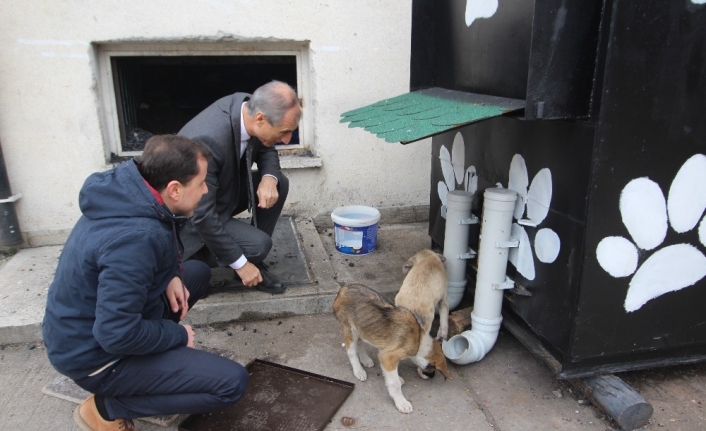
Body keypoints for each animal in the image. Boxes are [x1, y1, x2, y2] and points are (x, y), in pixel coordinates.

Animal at [332, 284, 452, 416]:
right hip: (350, 329)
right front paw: (401, 402)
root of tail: (343, 289)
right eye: (432, 367)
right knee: (351, 351)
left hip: (362, 327)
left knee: (360, 343)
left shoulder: (387, 353)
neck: (419, 340)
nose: (431, 377)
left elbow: (393, 374)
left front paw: (397, 378)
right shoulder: (387, 356)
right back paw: (359, 371)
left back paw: (366, 360)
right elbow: (394, 383)